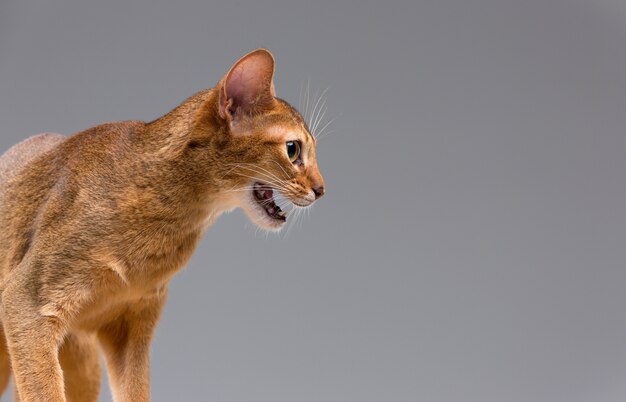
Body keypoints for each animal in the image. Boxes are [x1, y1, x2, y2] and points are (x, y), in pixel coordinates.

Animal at [0, 50, 324, 402]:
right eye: (293, 149)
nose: (322, 189)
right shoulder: (26, 304)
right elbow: (44, 392)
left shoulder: (133, 324)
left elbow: (136, 390)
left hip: (82, 359)